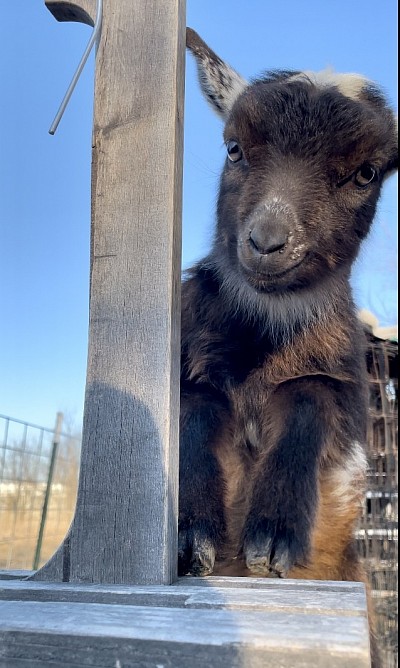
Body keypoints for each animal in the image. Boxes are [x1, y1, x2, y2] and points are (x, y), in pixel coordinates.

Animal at [179, 28, 397, 667]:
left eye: (366, 173)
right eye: (233, 149)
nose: (268, 242)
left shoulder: (344, 384)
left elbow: (309, 394)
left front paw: (272, 533)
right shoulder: (189, 357)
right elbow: (196, 402)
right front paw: (194, 530)